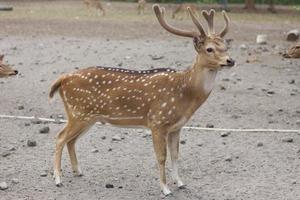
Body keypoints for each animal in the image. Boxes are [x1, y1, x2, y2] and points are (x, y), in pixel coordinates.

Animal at [49, 4, 233, 195]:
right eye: (209, 49)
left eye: (225, 46)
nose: (230, 60)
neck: (185, 94)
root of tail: (62, 79)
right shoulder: (157, 121)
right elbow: (161, 157)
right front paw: (165, 188)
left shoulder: (177, 126)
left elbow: (175, 155)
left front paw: (181, 183)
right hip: (78, 113)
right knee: (60, 137)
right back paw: (58, 179)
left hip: (88, 117)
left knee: (71, 140)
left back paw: (78, 171)